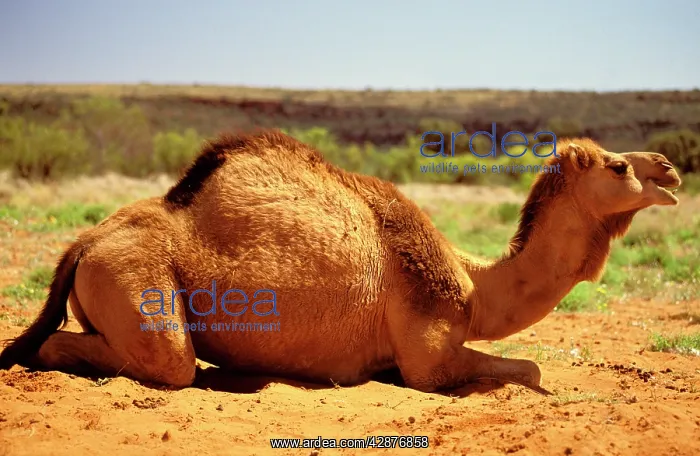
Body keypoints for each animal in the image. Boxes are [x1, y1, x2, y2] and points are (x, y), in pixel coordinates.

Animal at [0, 131, 682, 394]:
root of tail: (81, 244)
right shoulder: (428, 357)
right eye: (618, 167)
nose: (670, 168)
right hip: (140, 284)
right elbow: (531, 367)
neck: (474, 286)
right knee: (157, 360)